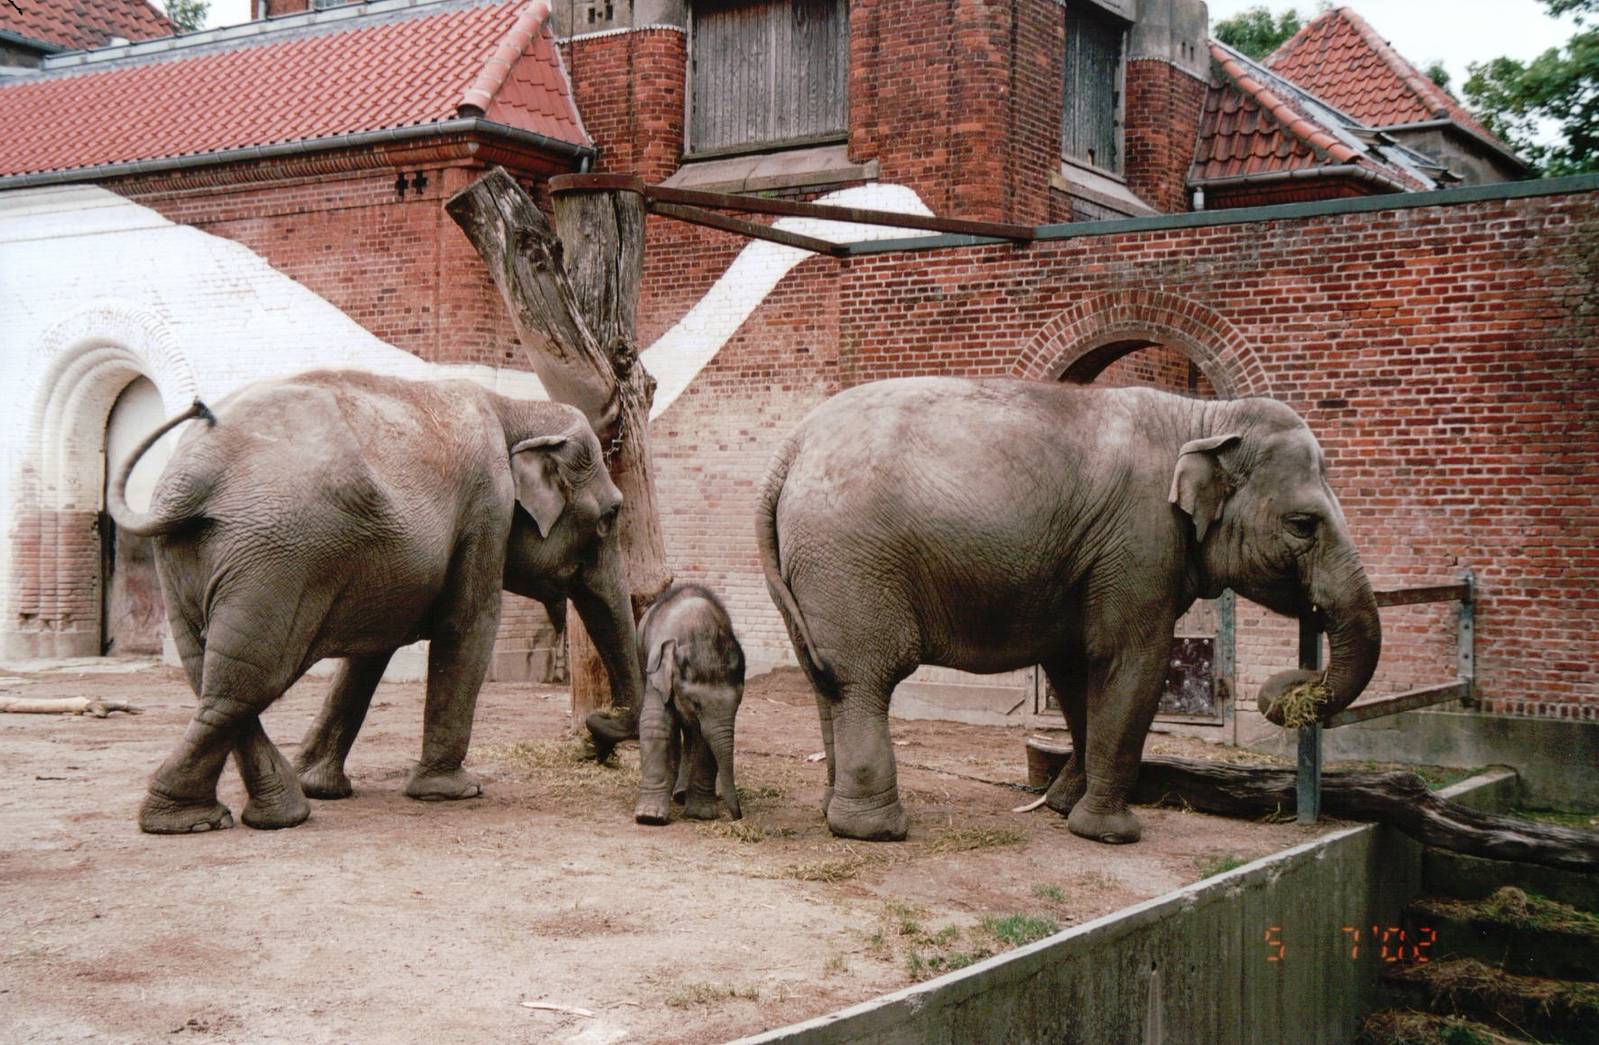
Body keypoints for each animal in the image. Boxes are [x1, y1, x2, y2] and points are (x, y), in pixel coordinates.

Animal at [107, 370, 642, 834]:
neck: (518, 407)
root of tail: (191, 478)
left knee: (209, 676)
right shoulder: (487, 506)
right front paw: (453, 792)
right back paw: (206, 820)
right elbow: (467, 626)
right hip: (275, 559)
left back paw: (263, 814)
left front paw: (322, 786)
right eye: (609, 517)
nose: (601, 728)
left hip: (187, 557)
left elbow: (370, 655)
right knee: (247, 683)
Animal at [632, 583, 746, 825]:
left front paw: (701, 814)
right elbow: (657, 725)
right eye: (695, 703)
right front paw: (650, 817)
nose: (738, 816)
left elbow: (705, 738)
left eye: (738, 703)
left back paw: (681, 794)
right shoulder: (657, 669)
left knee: (691, 733)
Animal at [755, 377, 1381, 845]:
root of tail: (789, 451)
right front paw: (1112, 834)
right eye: (1303, 524)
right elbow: (1132, 663)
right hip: (851, 560)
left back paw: (831, 812)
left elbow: (1078, 669)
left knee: (827, 681)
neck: (1206, 419)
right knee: (865, 679)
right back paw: (876, 831)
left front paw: (1061, 806)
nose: (1283, 690)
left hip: (814, 571)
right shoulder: (1140, 542)